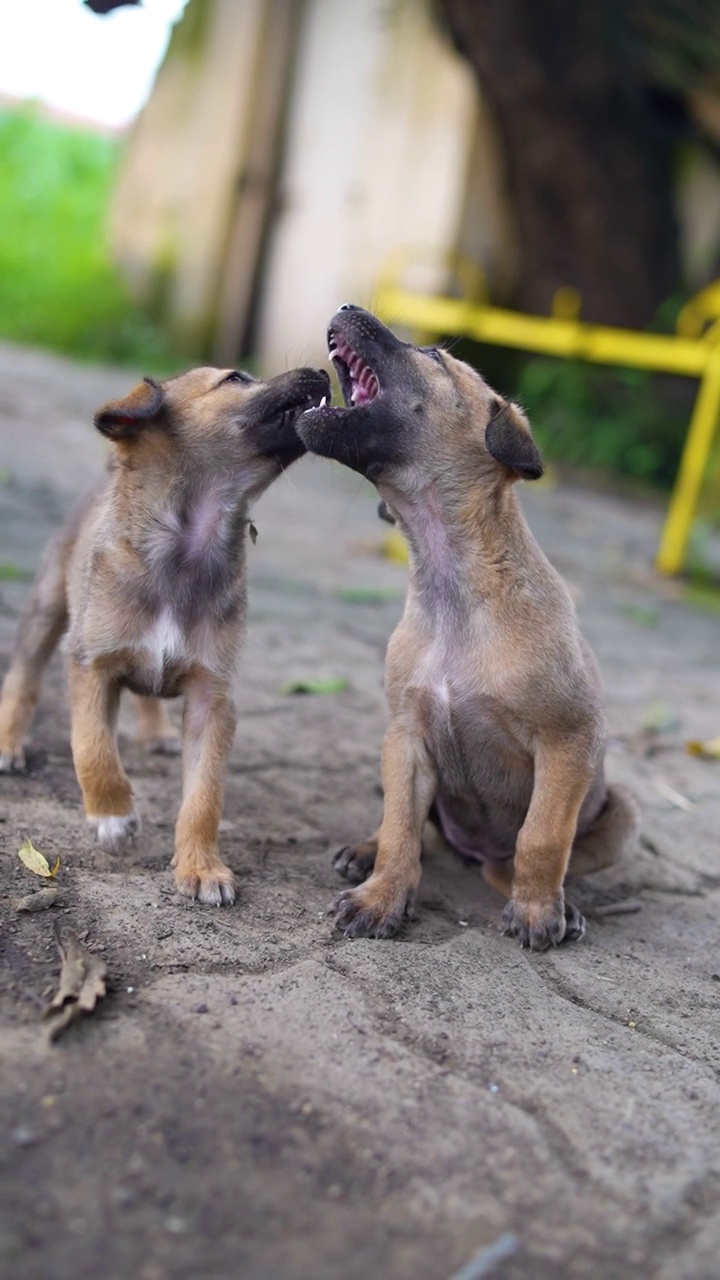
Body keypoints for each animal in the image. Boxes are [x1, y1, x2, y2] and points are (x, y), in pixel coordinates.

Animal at [0, 360, 330, 906]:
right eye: (235, 378)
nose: (321, 371)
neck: (189, 549)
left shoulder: (211, 696)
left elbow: (204, 795)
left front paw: (201, 867)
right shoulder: (91, 665)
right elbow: (91, 747)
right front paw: (112, 814)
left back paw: (156, 735)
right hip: (47, 607)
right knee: (22, 679)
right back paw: (9, 744)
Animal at [297, 304, 638, 952]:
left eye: (434, 356)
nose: (348, 307)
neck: (453, 582)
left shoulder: (568, 743)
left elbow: (542, 838)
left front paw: (537, 910)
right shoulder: (407, 737)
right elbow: (402, 827)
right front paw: (383, 897)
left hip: (622, 813)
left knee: (528, 857)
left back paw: (563, 903)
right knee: (418, 833)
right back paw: (366, 851)